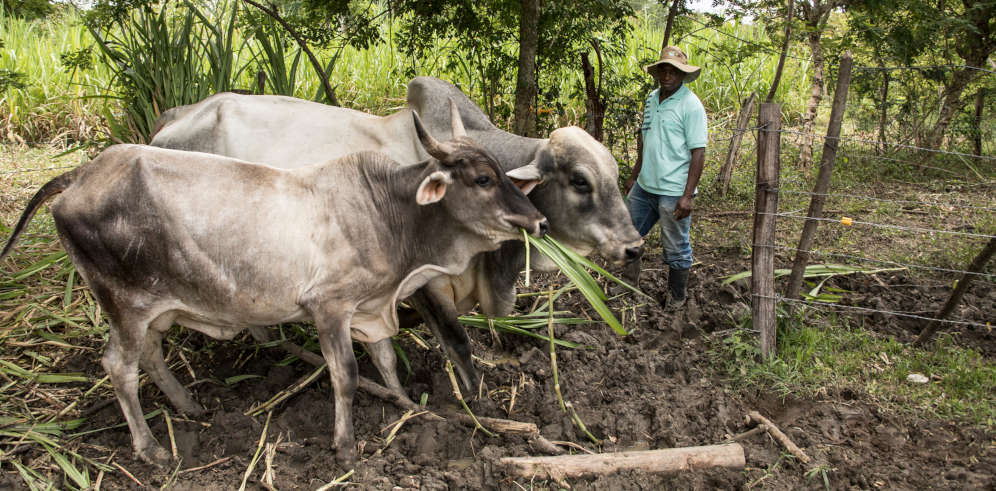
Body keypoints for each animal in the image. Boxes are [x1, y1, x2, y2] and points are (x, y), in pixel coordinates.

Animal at [0, 112, 547, 467]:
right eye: (482, 178)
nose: (538, 220)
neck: (387, 212)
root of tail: (83, 172)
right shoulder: (329, 307)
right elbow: (346, 375)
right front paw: (346, 448)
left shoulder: (369, 307)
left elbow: (387, 360)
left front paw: (405, 406)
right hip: (125, 304)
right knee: (119, 367)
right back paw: (152, 449)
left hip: (156, 308)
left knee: (150, 357)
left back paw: (189, 408)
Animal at [150, 78, 643, 393]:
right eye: (580, 181)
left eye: (613, 173)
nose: (635, 246)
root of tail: (171, 119)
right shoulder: (427, 283)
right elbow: (457, 343)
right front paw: (475, 406)